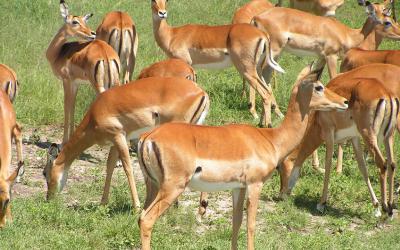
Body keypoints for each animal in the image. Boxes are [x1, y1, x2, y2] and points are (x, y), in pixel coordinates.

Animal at [44, 77, 209, 210]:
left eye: (45, 172)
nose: (48, 198)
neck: (94, 116)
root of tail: (201, 93)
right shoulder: (114, 142)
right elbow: (110, 166)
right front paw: (103, 203)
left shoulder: (119, 137)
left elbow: (127, 168)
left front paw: (136, 207)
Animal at [46, 0, 120, 144]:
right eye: (75, 21)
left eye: (83, 21)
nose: (92, 33)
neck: (59, 53)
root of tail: (105, 53)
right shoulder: (76, 84)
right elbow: (73, 107)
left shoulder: (67, 81)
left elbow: (67, 107)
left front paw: (64, 141)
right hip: (115, 82)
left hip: (98, 85)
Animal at [138, 66, 346, 250]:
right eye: (318, 86)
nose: (344, 101)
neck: (272, 139)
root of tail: (148, 137)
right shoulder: (255, 184)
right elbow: (251, 225)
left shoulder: (238, 187)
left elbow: (236, 223)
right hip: (173, 187)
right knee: (147, 220)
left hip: (153, 185)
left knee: (140, 216)